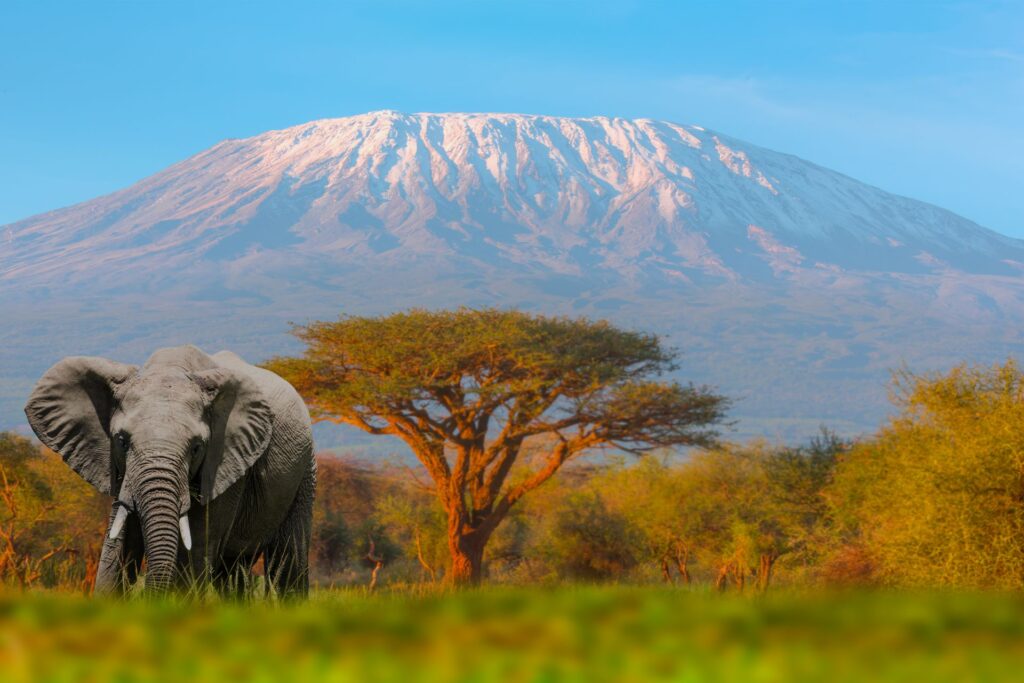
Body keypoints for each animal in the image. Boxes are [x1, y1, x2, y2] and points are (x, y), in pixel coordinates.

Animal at [27, 344, 315, 593]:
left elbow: (194, 551)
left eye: (197, 448)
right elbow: (117, 549)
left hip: (305, 467)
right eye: (121, 441)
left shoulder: (225, 465)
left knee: (288, 561)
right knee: (233, 573)